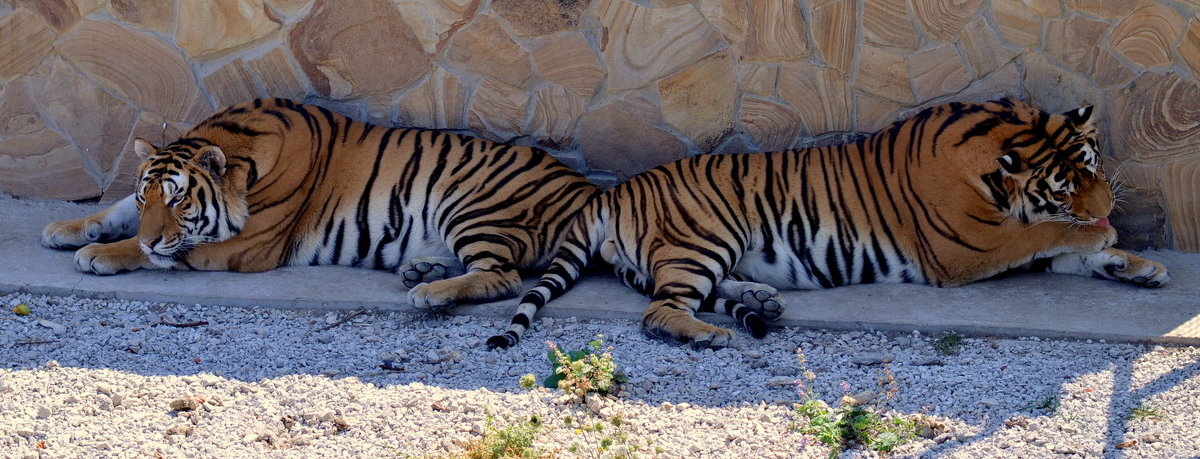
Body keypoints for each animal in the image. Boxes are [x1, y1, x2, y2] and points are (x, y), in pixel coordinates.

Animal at [46, 97, 600, 310]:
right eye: (150, 197)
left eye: (182, 201)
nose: (152, 234)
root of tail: (589, 190)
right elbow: (117, 211)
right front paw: (68, 228)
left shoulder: (244, 247)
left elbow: (160, 252)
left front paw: (100, 254)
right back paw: (421, 271)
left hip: (470, 202)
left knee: (505, 277)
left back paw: (430, 293)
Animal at [482, 96, 1166, 348]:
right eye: (1066, 184)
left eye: (1092, 165)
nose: (1108, 207)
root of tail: (612, 193)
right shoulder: (969, 247)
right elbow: (1045, 235)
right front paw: (1106, 239)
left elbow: (1071, 254)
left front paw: (1139, 268)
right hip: (704, 236)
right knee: (660, 311)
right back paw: (710, 335)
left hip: (699, 252)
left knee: (689, 292)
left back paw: (761, 300)